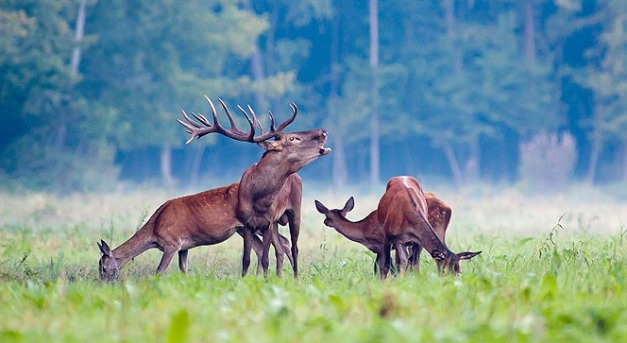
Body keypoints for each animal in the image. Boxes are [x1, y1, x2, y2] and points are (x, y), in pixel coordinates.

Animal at [98, 177, 302, 282]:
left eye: (104, 267)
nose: (103, 284)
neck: (155, 229)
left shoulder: (171, 243)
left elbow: (160, 270)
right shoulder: (184, 247)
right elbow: (183, 270)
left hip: (254, 224)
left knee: (277, 244)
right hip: (247, 228)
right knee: (273, 244)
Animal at [179, 97, 332, 276]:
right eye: (293, 138)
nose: (323, 132)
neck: (259, 199)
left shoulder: (267, 223)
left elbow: (265, 259)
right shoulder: (247, 224)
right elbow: (246, 259)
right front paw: (245, 279)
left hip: (295, 209)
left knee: (294, 248)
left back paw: (295, 277)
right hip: (276, 222)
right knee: (281, 248)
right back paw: (279, 276)